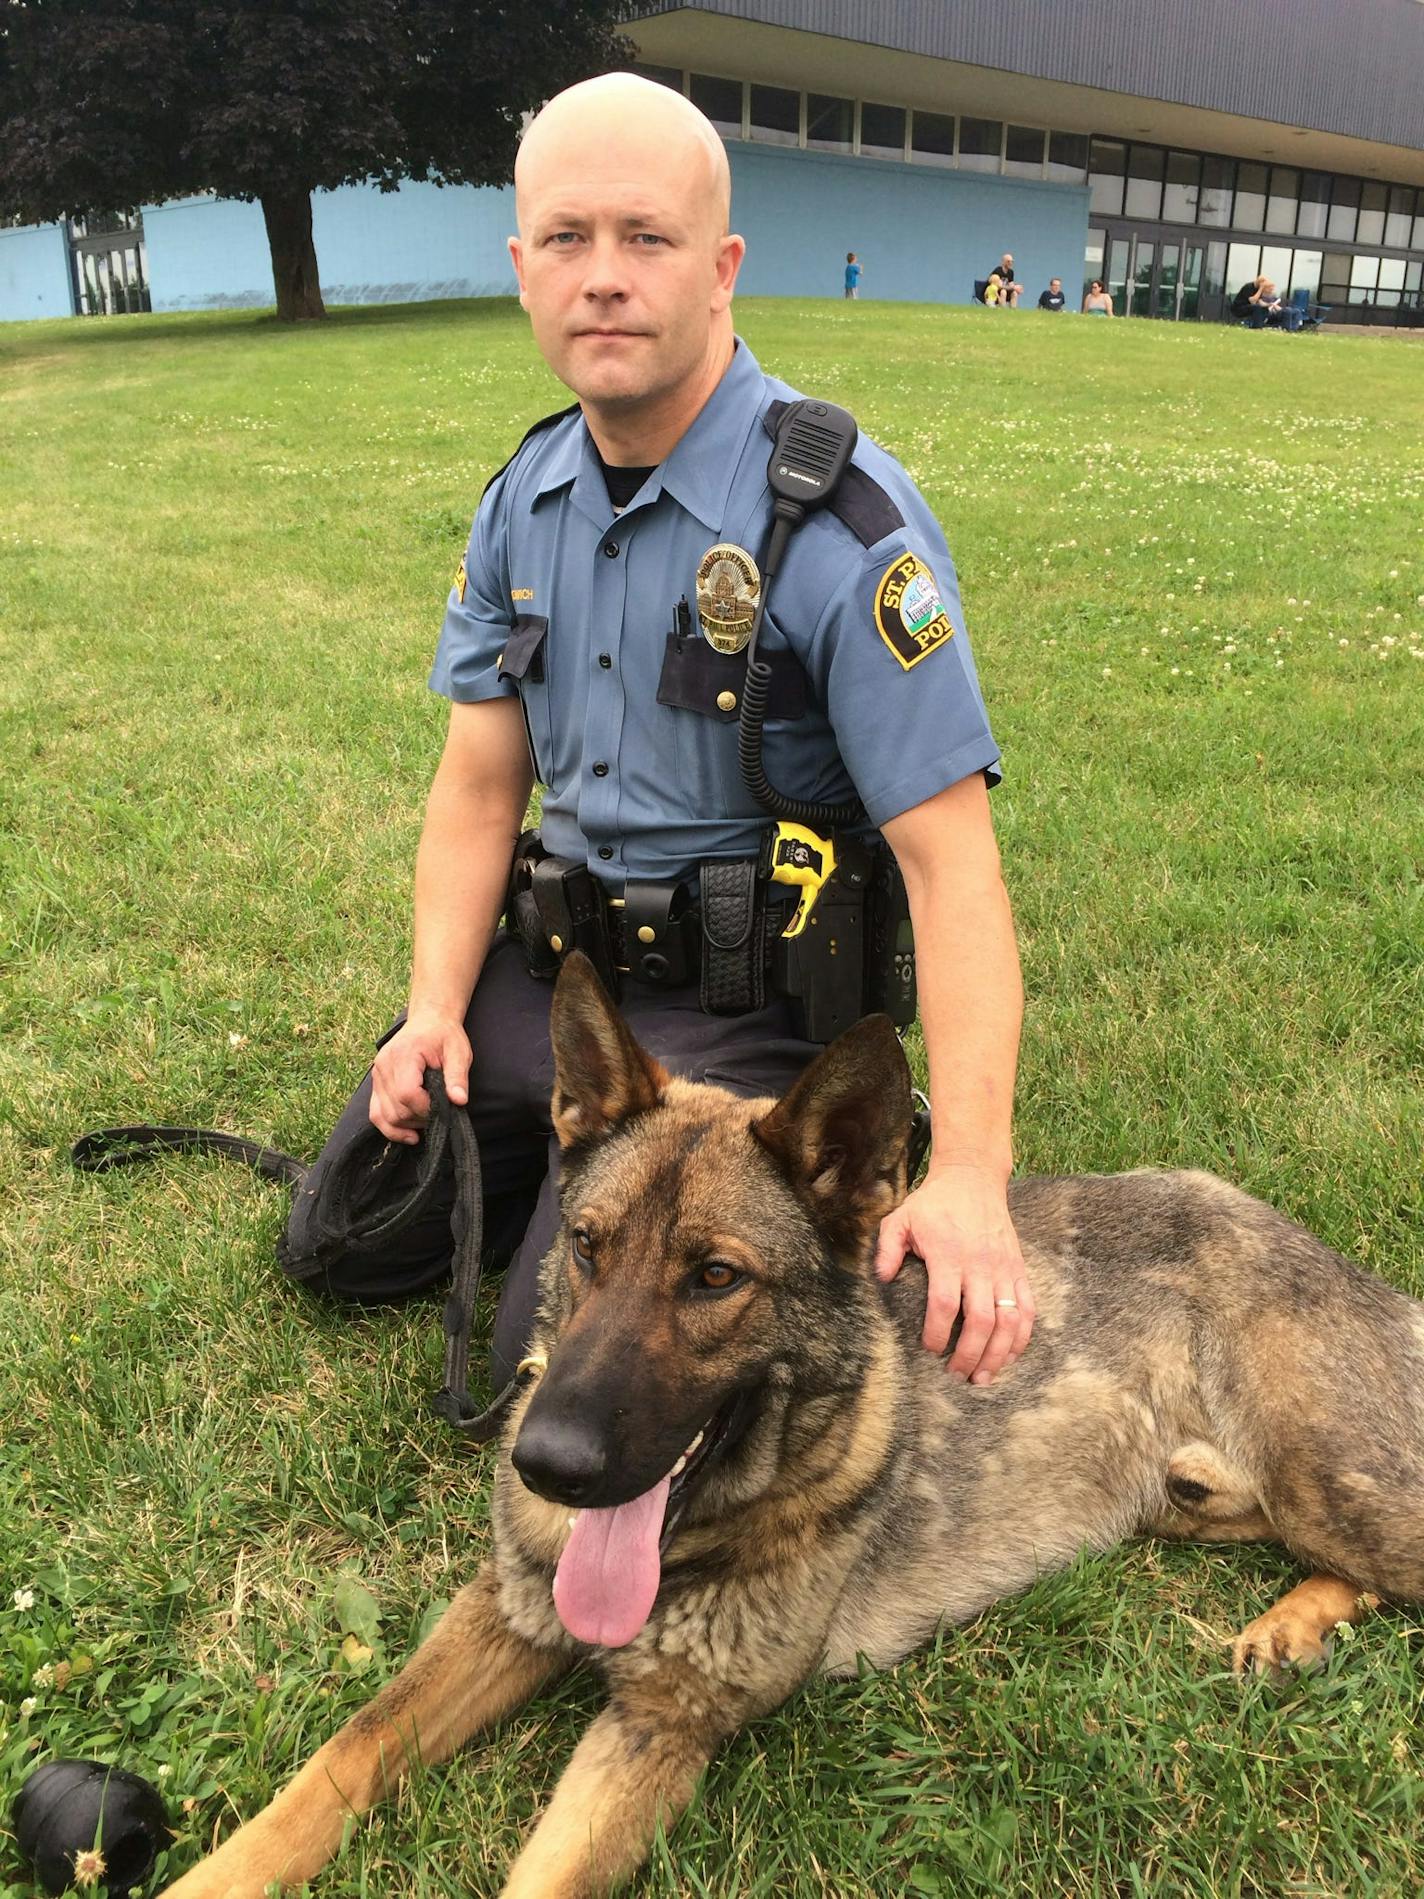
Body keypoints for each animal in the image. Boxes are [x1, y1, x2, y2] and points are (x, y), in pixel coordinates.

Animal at [164, 957, 1424, 1891]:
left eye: (715, 1278)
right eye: (588, 1247)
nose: (546, 1466)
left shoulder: (660, 1728)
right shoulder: (502, 1619)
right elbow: (336, 1761)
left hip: (1322, 1477)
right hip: (1210, 1502)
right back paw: (1289, 1626)